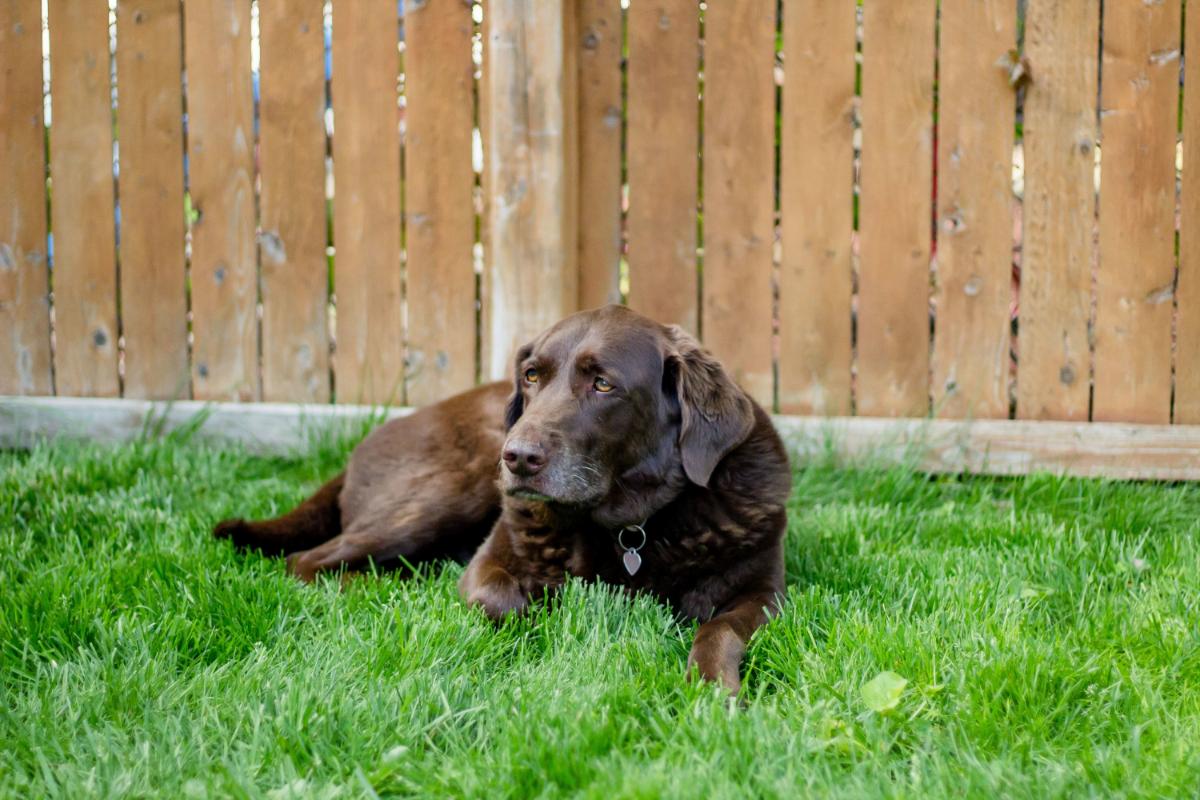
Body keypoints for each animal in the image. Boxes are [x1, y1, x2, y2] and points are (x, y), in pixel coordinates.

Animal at [213, 303, 796, 690]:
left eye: (603, 385)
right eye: (532, 376)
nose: (516, 456)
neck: (634, 528)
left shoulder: (764, 593)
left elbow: (718, 629)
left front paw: (713, 688)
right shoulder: (491, 562)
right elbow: (503, 600)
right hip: (445, 494)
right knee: (308, 562)